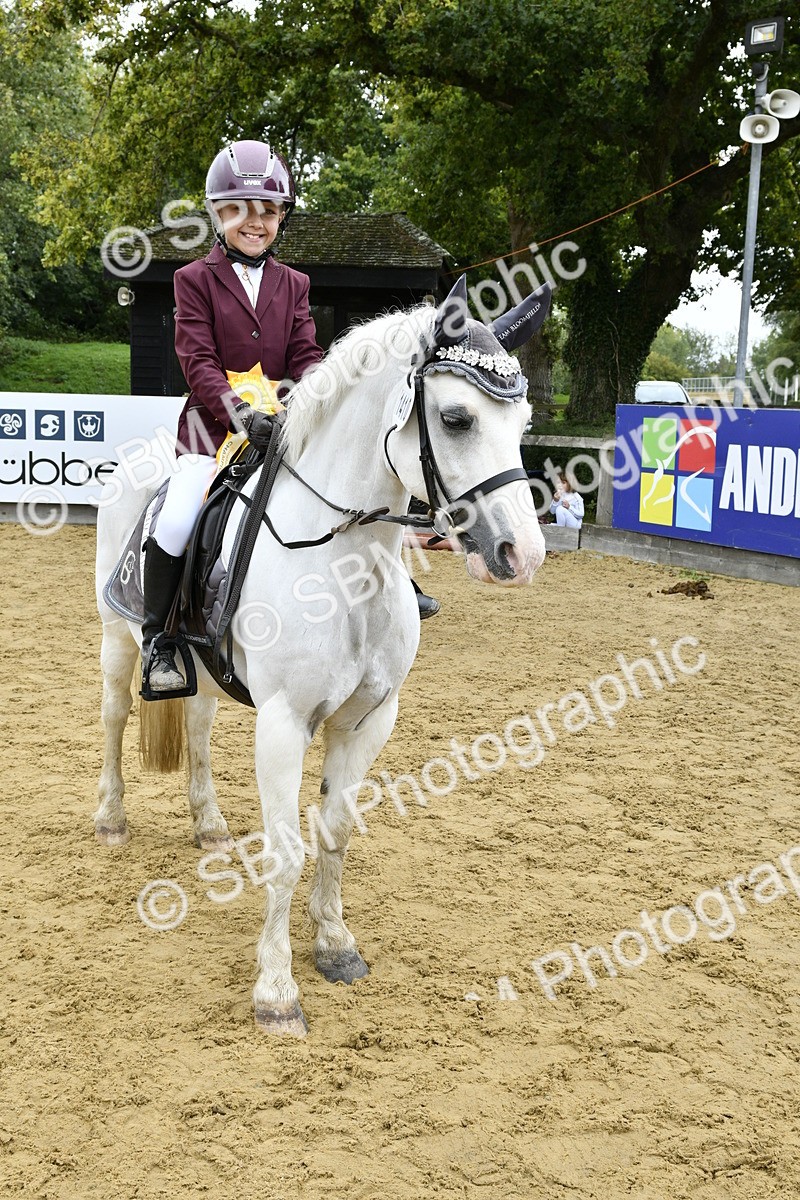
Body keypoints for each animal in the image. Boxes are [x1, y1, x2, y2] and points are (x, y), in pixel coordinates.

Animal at [94, 275, 550, 1037]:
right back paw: (110, 818)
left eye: (522, 425)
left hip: (204, 673)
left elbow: (335, 831)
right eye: (456, 418)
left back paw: (209, 825)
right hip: (114, 639)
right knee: (114, 717)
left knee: (198, 726)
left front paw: (335, 944)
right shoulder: (283, 723)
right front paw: (276, 990)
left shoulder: (368, 720)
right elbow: (285, 852)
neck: (346, 564)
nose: (523, 556)